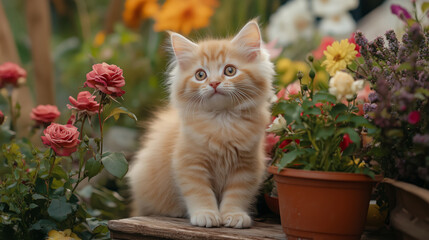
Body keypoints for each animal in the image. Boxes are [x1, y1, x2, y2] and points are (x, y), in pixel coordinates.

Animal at [127, 19, 274, 228]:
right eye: (200, 75)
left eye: (230, 70)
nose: (214, 83)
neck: (222, 121)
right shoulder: (190, 164)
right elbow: (200, 193)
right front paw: (206, 214)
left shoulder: (246, 167)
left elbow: (237, 194)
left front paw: (234, 215)